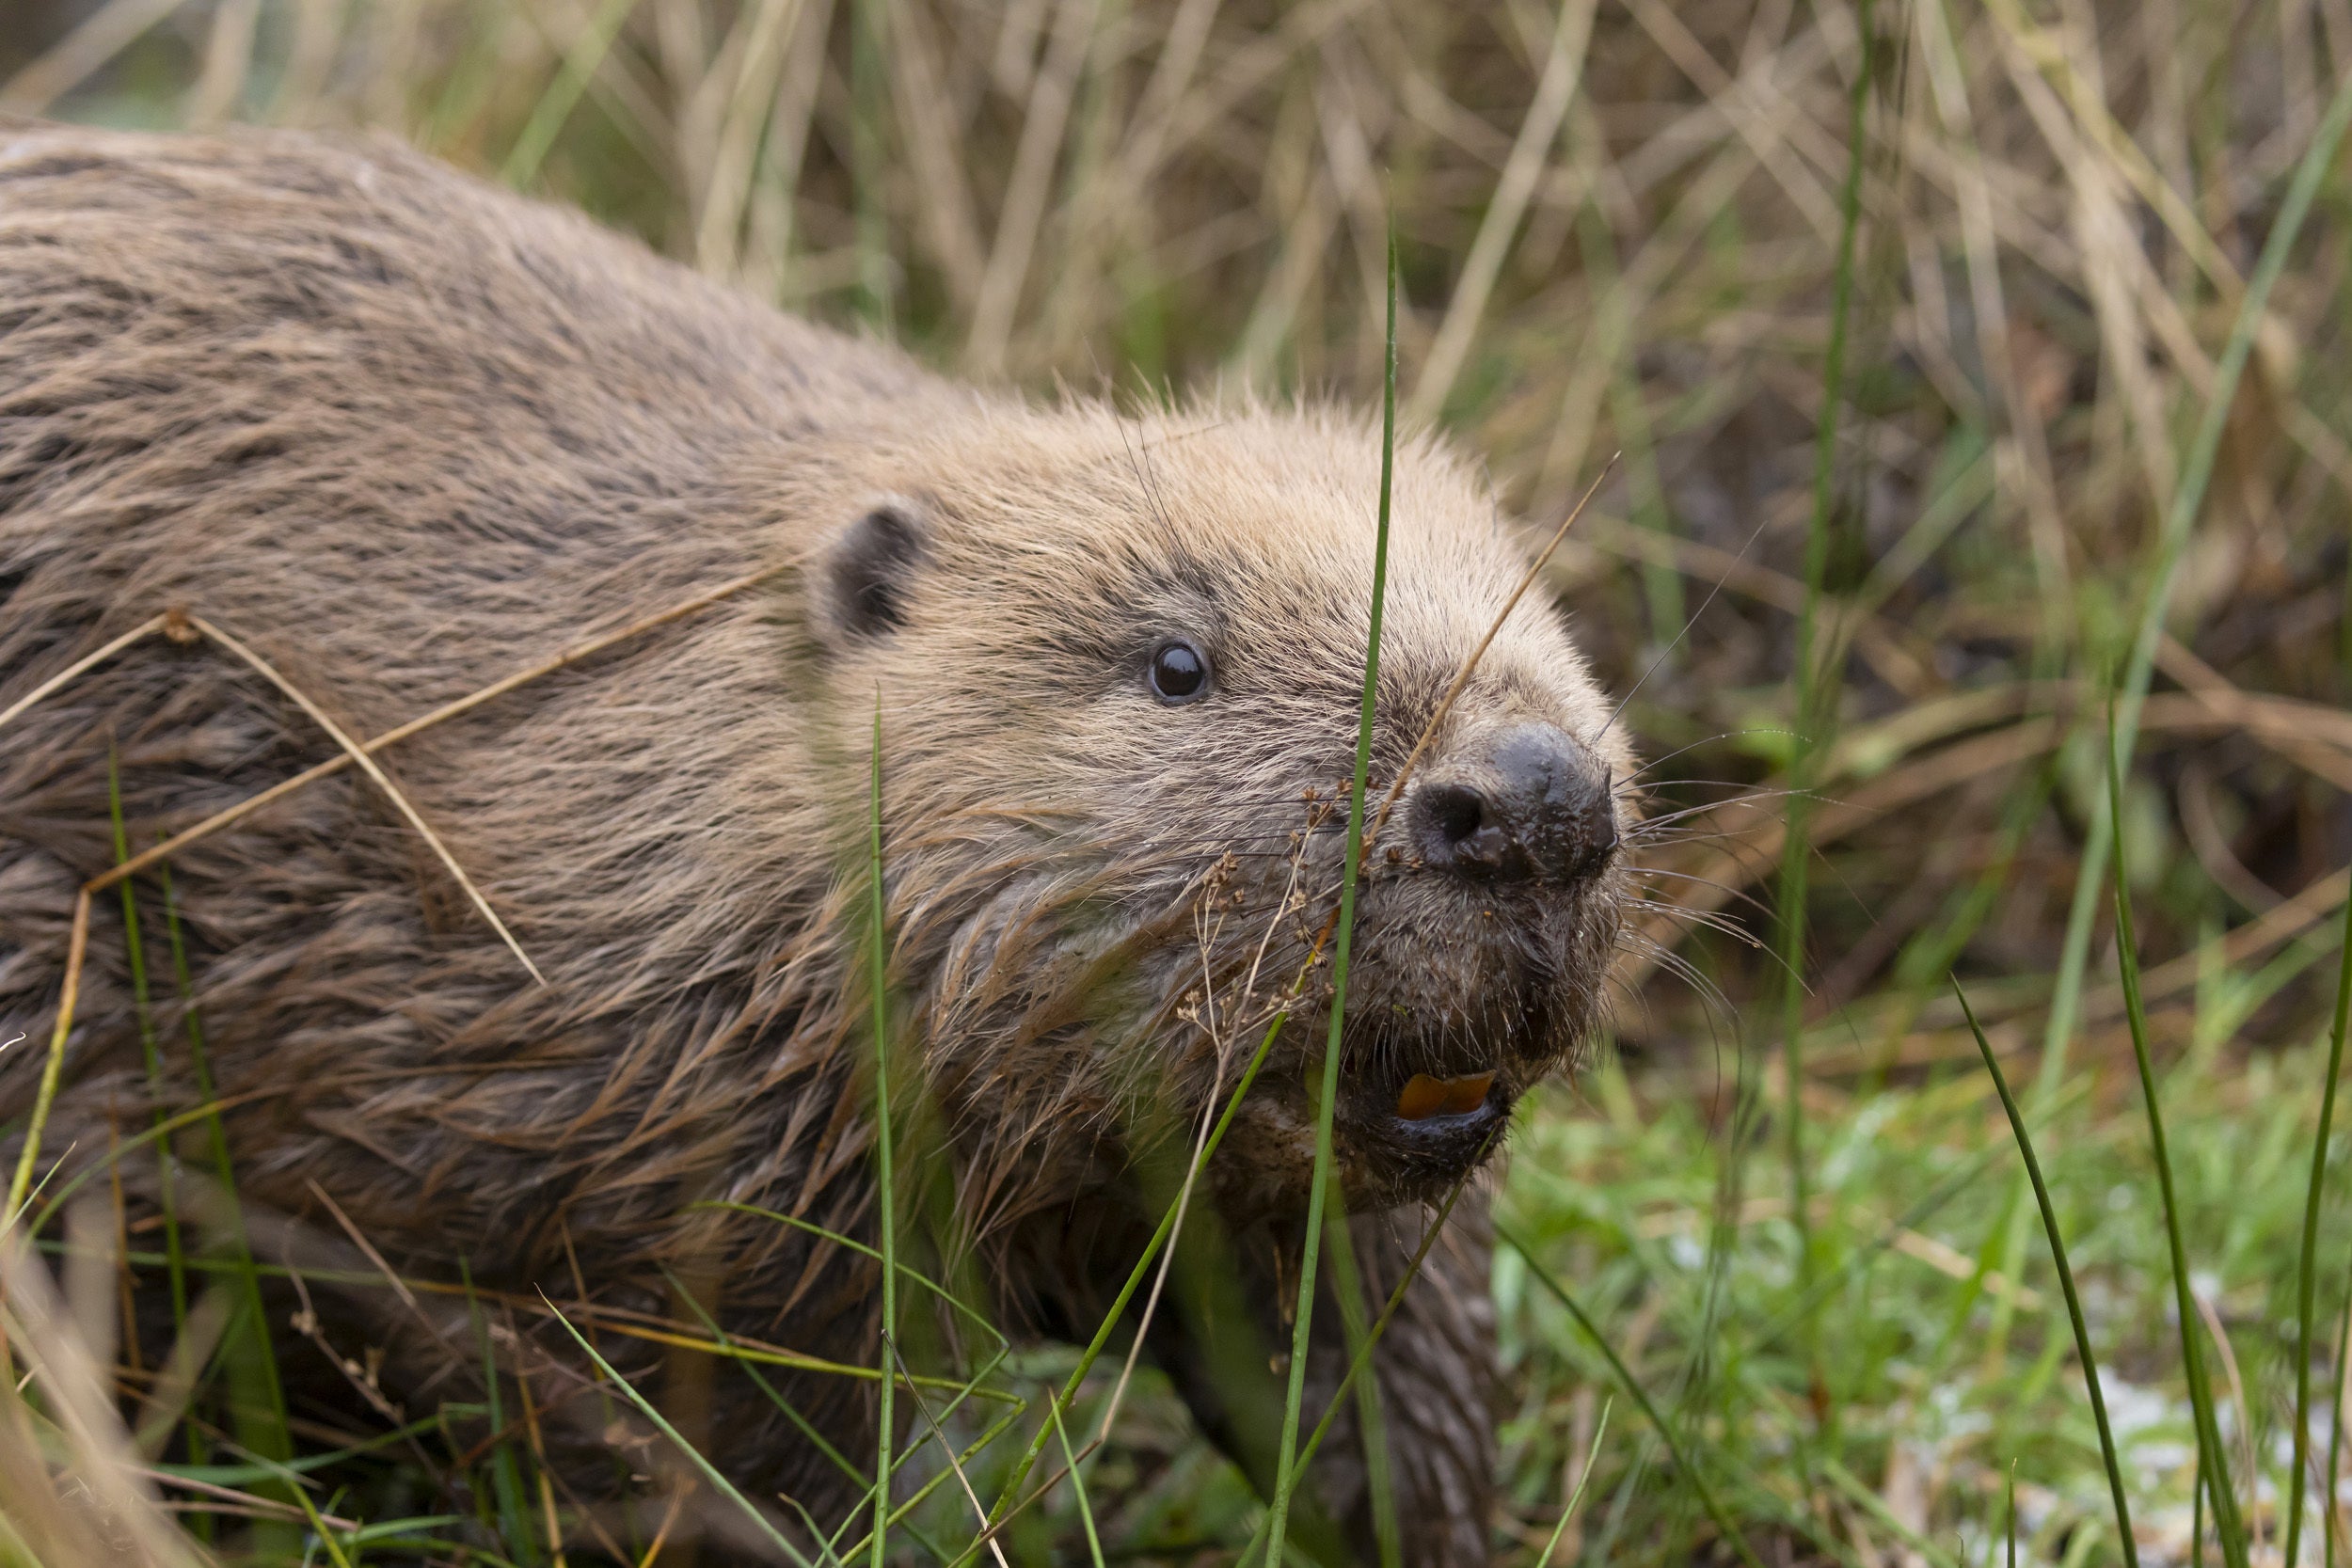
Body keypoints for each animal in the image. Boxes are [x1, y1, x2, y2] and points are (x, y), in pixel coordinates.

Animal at [0, 125, 1637, 1568]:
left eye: (1529, 599)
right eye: (1177, 661)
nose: (1535, 801)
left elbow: (1375, 1357)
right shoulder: (671, 1157)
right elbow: (722, 1427)